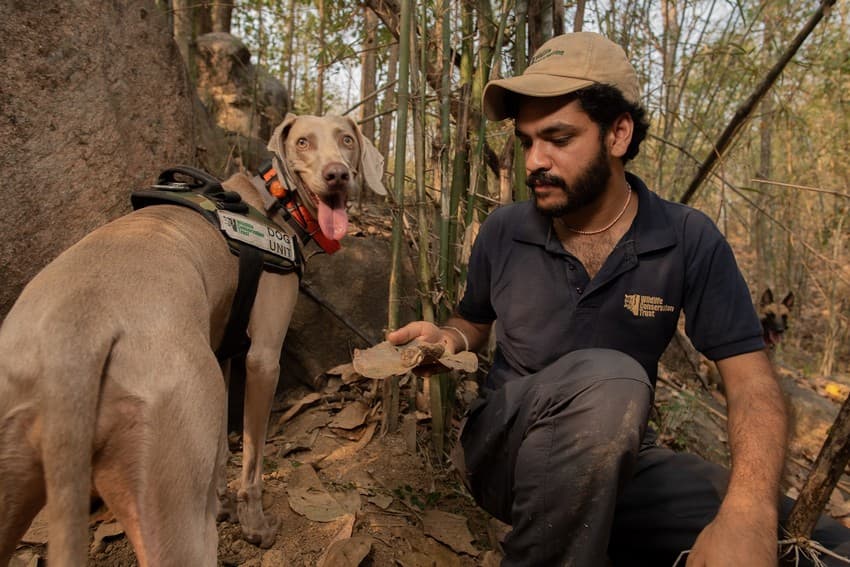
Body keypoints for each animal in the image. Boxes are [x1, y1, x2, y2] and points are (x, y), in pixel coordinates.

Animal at [0, 112, 384, 567]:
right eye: (303, 142)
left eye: (346, 140)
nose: (337, 175)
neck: (273, 202)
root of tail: (77, 335)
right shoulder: (262, 359)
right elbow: (251, 457)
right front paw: (254, 525)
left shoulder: (221, 348)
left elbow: (219, 452)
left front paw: (221, 503)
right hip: (174, 488)